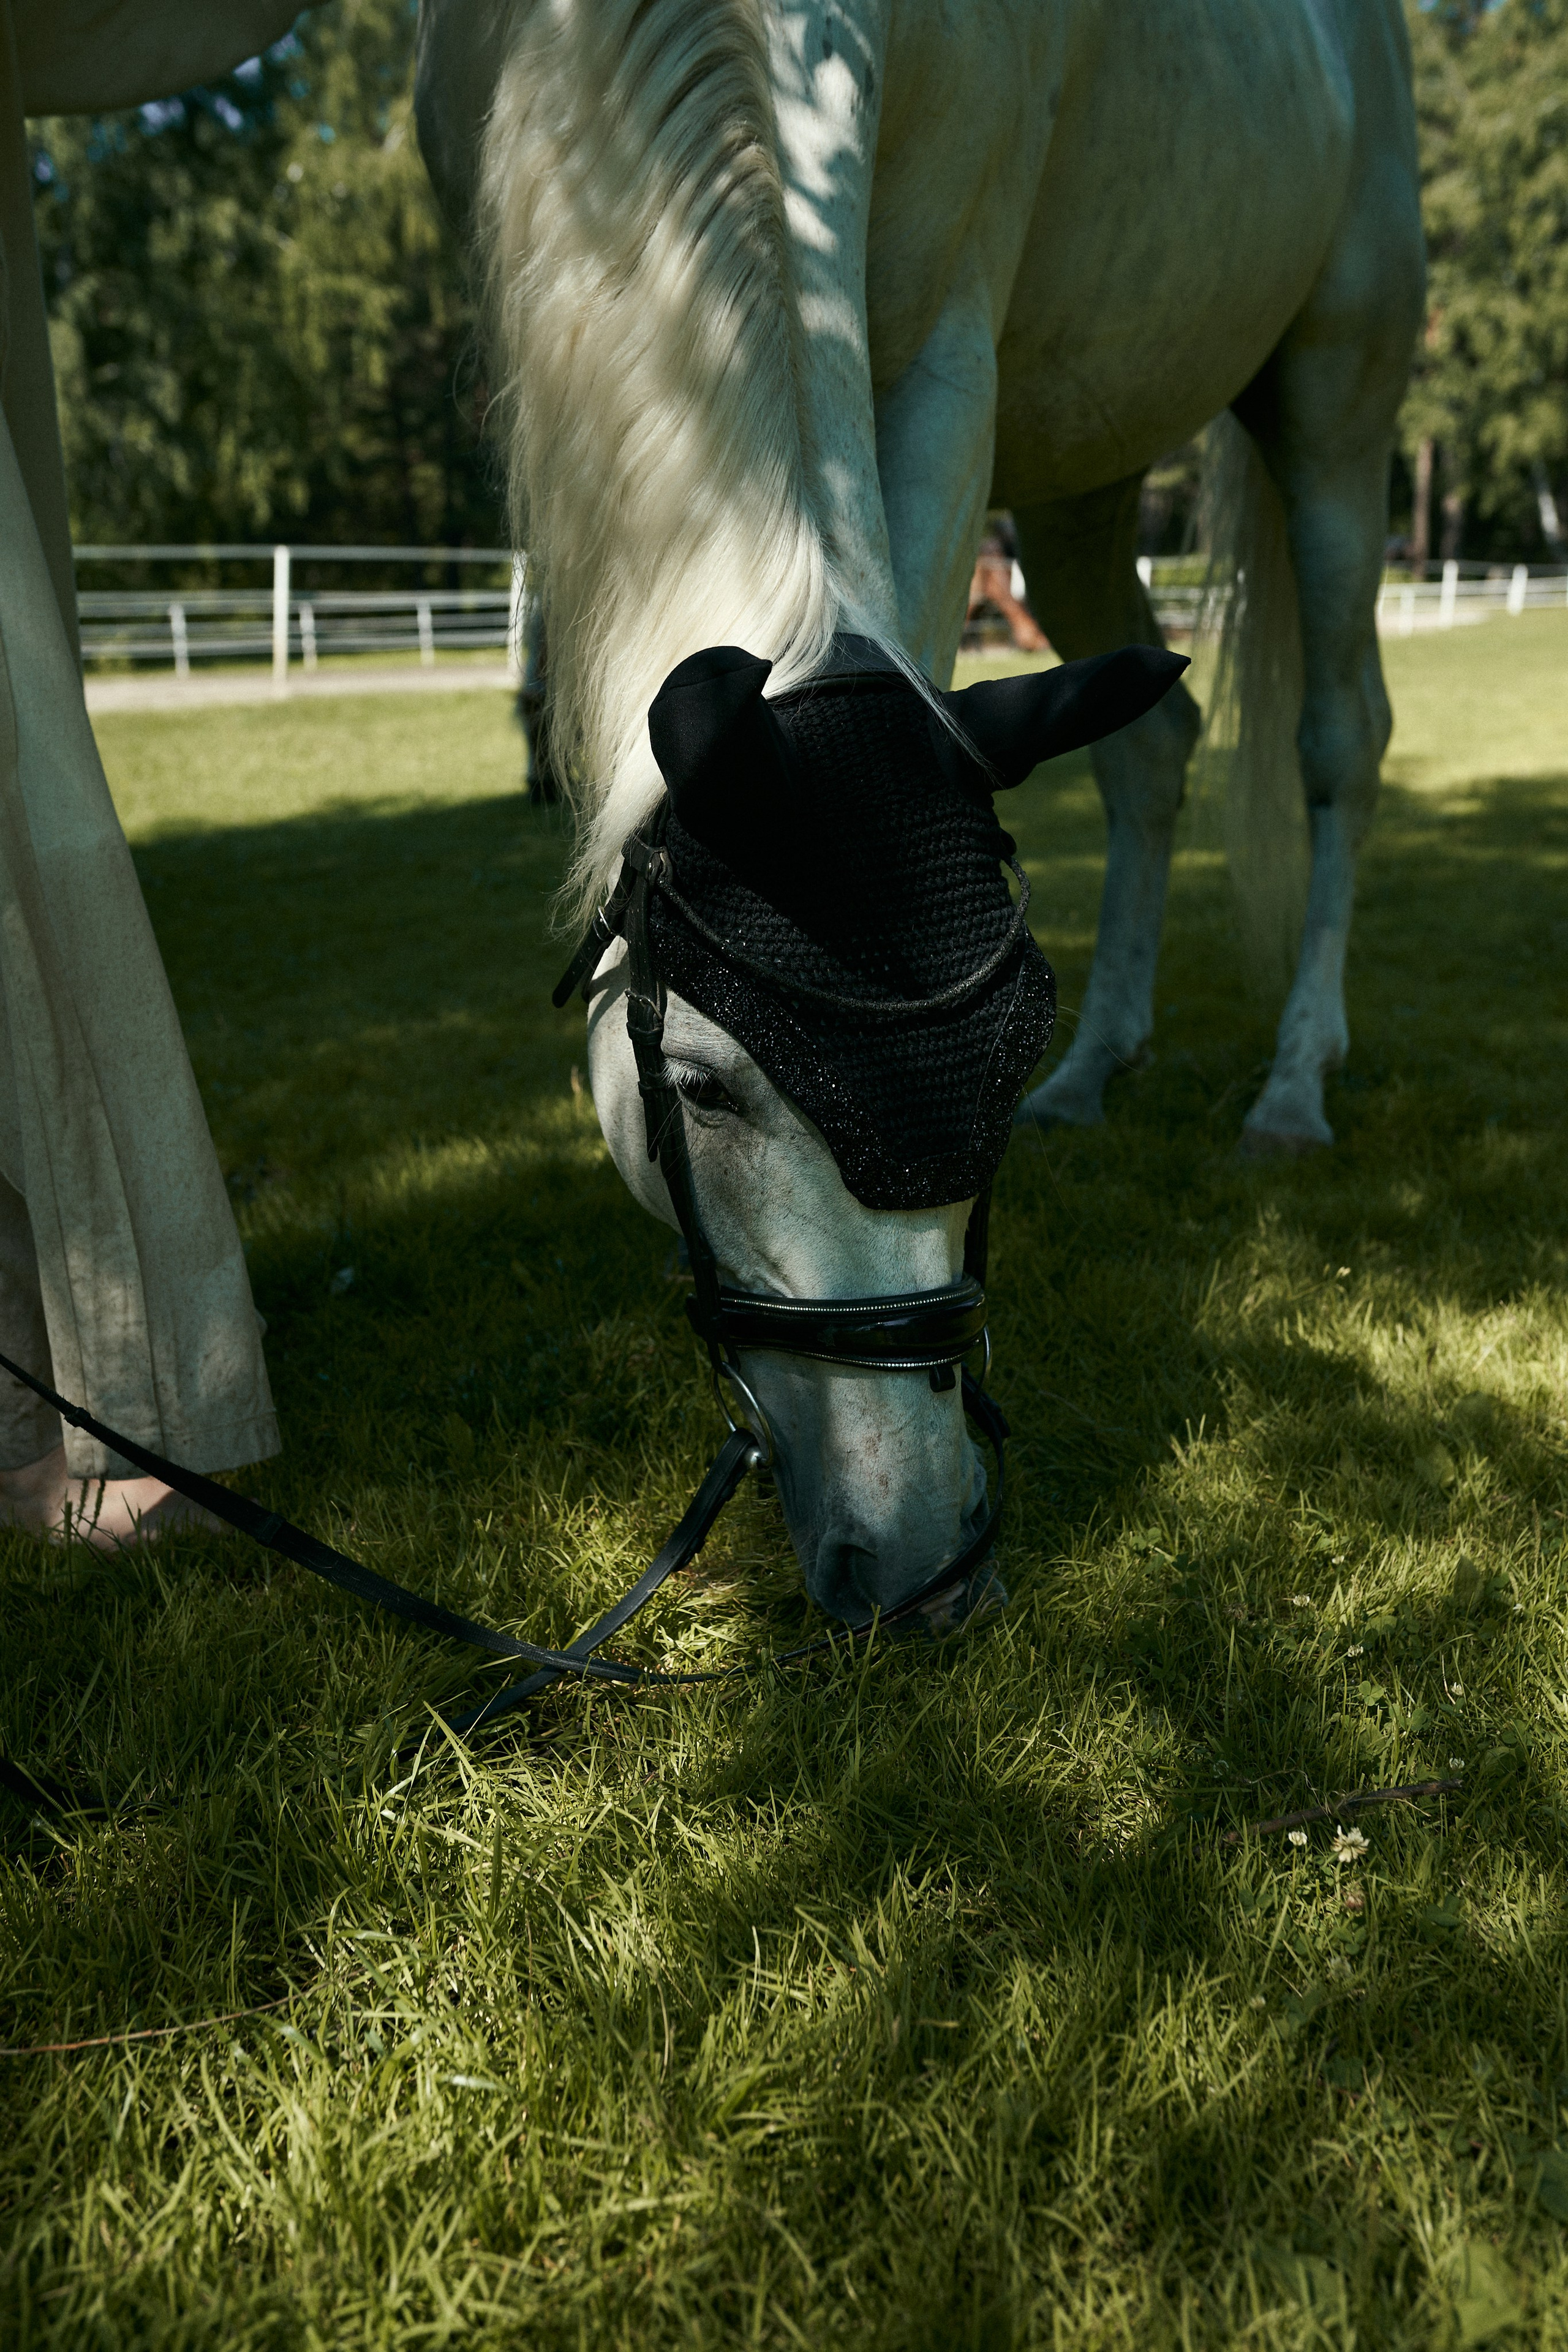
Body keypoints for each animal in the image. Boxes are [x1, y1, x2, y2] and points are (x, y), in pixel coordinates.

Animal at [413, 0, 1423, 1625]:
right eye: (700, 1089)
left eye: (990, 1065)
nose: (926, 1559)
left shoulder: (947, 331)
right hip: (1085, 469)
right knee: (1152, 748)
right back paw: (1110, 1061)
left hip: (1334, 393)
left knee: (1337, 742)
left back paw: (1289, 1084)